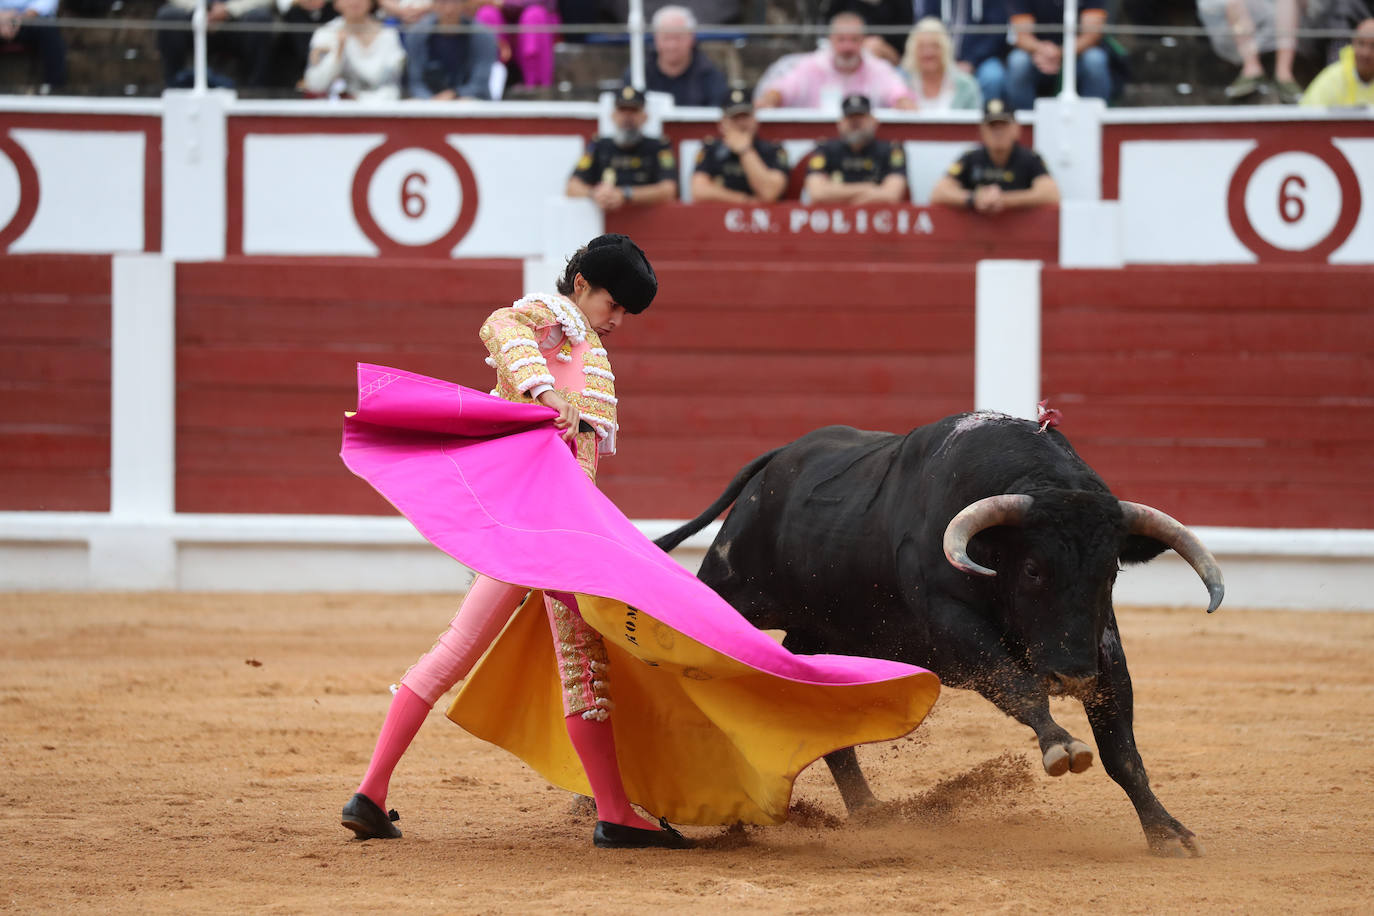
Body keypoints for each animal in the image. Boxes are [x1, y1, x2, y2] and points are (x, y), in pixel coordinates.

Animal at [654, 414, 1225, 862]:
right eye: (1034, 569)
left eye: (1110, 572)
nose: (1072, 675)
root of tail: (775, 462)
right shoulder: (957, 630)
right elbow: (1019, 688)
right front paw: (1062, 745)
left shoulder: (1101, 644)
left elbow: (1121, 748)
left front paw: (1167, 833)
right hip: (731, 586)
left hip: (827, 633)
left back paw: (870, 811)